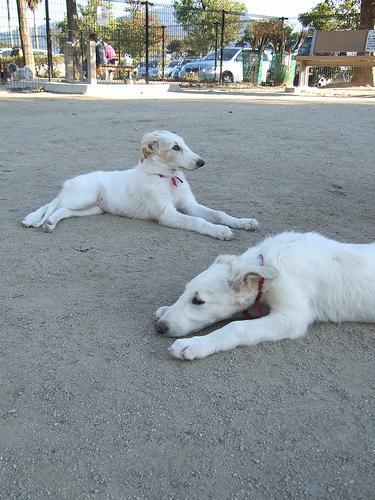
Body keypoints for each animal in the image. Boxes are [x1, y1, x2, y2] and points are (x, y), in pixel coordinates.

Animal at [22, 129, 258, 238]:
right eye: (175, 147)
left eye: (184, 144)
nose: (201, 162)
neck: (166, 177)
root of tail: (71, 182)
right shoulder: (167, 214)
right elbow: (198, 222)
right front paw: (219, 231)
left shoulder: (189, 205)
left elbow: (218, 213)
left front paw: (243, 222)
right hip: (84, 195)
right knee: (54, 203)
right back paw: (37, 219)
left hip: (94, 208)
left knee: (61, 209)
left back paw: (48, 222)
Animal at [153, 232, 375, 362]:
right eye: (185, 292)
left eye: (198, 301)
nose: (160, 328)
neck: (267, 264)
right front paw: (165, 309)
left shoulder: (291, 318)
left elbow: (236, 327)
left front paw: (195, 344)